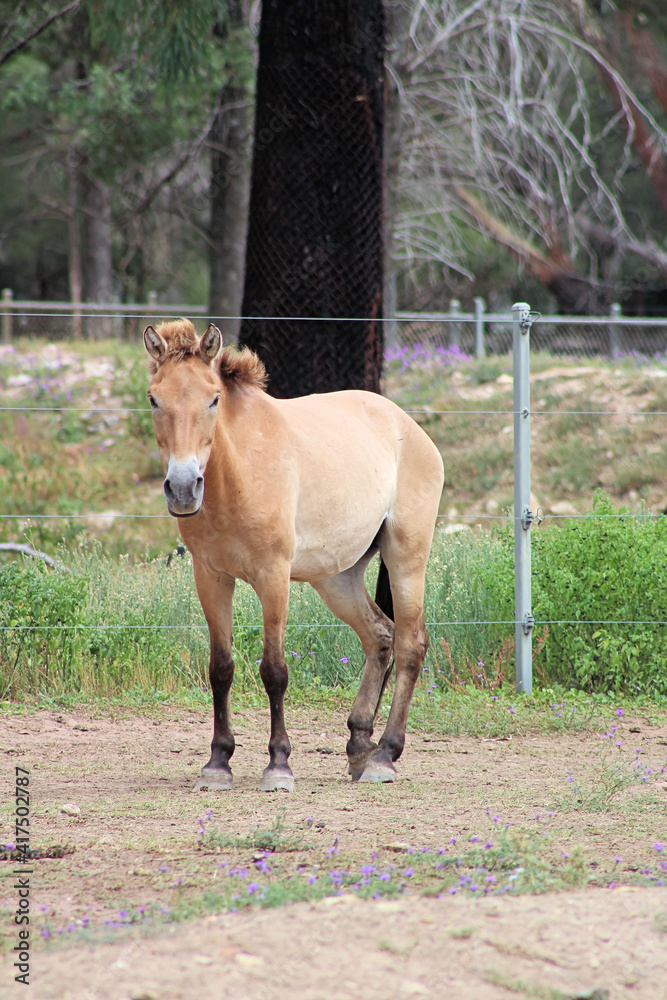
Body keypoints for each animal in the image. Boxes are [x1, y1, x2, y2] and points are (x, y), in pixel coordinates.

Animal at [144, 319, 444, 791]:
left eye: (213, 398)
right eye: (154, 398)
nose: (183, 487)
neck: (238, 474)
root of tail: (407, 425)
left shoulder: (273, 576)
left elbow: (274, 670)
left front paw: (278, 765)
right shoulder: (210, 576)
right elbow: (220, 669)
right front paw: (217, 763)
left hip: (406, 558)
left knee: (411, 645)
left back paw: (384, 756)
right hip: (337, 578)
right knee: (380, 636)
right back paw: (359, 745)